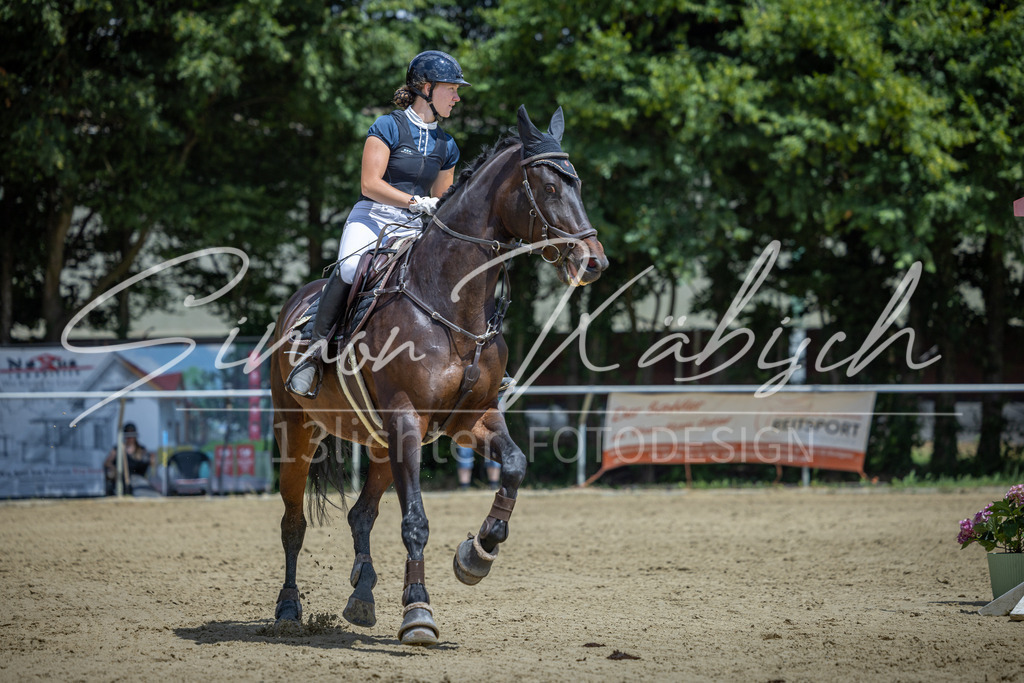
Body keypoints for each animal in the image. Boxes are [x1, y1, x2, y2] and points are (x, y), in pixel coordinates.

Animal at [268, 104, 608, 645]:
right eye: (551, 186)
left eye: (577, 184)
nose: (593, 261)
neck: (452, 302)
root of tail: (295, 302)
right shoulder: (408, 419)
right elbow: (415, 523)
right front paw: (418, 612)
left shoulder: (471, 419)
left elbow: (515, 466)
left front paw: (478, 553)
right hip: (297, 432)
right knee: (293, 523)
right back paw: (287, 609)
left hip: (381, 443)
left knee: (361, 515)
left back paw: (362, 597)